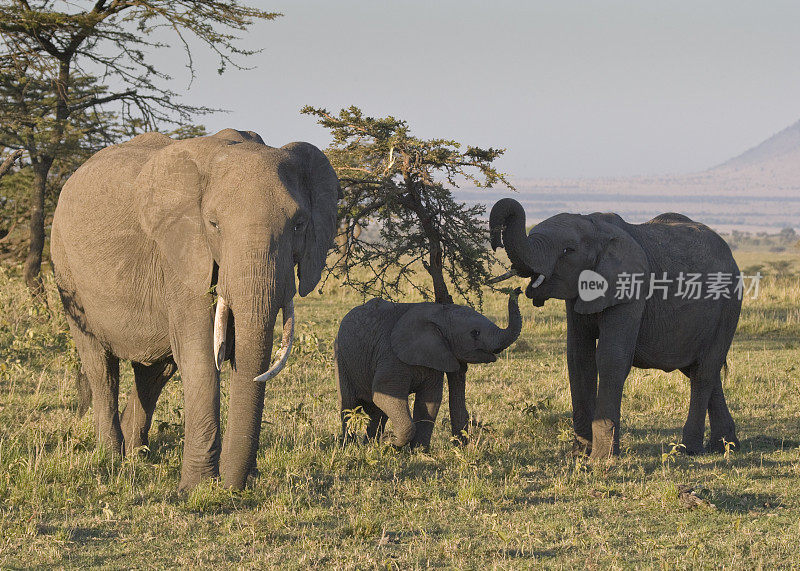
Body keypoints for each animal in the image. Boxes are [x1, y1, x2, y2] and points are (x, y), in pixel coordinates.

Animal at [50, 130, 338, 492]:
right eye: (213, 224)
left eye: (299, 225)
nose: (234, 485)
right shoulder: (183, 254)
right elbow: (200, 354)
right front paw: (198, 488)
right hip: (66, 272)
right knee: (100, 365)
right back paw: (112, 458)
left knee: (155, 371)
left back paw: (137, 455)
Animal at [334, 292, 520, 450]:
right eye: (475, 333)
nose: (517, 290)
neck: (439, 315)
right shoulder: (391, 356)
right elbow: (385, 396)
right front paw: (391, 442)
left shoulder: (435, 359)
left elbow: (430, 401)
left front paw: (418, 452)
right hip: (341, 357)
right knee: (348, 405)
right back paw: (349, 447)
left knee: (377, 412)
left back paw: (370, 446)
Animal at [490, 199, 740, 462]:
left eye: (568, 251)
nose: (517, 290)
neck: (595, 227)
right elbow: (579, 358)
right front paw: (580, 455)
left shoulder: (630, 290)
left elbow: (611, 357)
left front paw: (601, 459)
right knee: (701, 370)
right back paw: (725, 446)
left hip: (729, 306)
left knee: (704, 372)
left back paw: (689, 449)